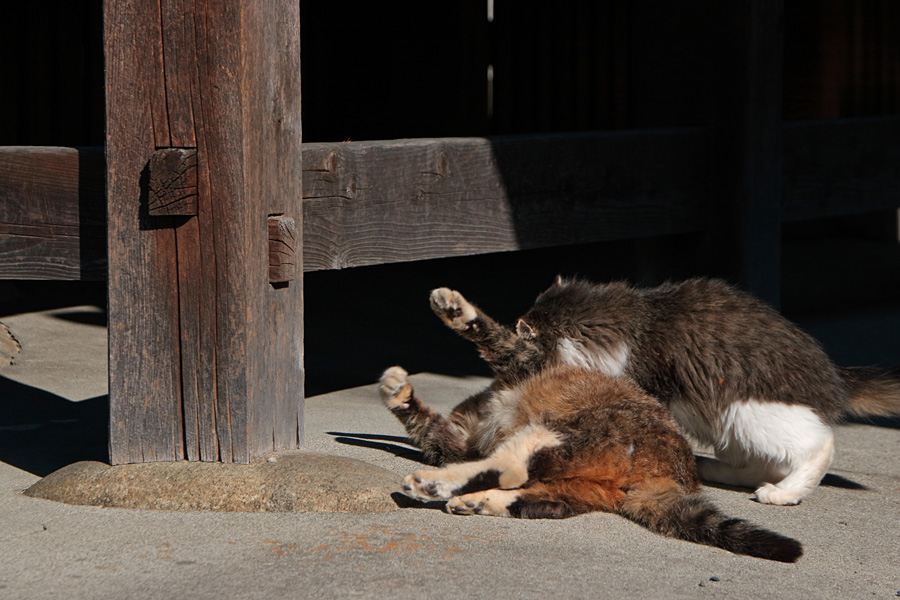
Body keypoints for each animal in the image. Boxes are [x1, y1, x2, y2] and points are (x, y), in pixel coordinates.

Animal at [378, 286, 800, 564]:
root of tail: (675, 471)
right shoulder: (459, 438)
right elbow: (428, 427)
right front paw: (397, 392)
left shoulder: (525, 363)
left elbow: (497, 340)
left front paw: (455, 309)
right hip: (581, 482)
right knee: (541, 498)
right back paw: (478, 500)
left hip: (572, 430)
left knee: (511, 465)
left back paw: (435, 484)